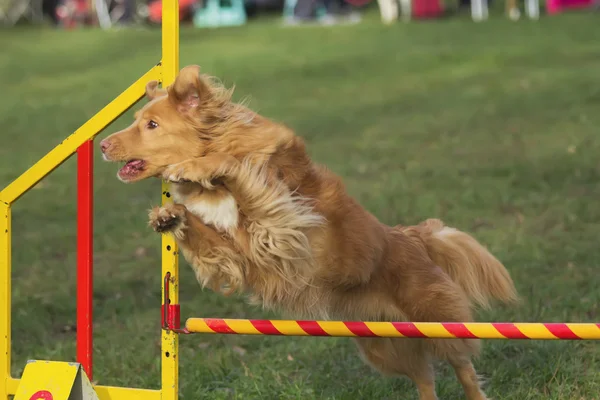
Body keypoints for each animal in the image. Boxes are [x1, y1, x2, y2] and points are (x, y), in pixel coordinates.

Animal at [101, 64, 516, 398]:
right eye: (138, 120)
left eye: (152, 125)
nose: (103, 144)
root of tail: (411, 236)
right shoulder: (240, 257)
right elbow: (212, 237)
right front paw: (170, 216)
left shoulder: (282, 223)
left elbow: (241, 173)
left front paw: (201, 167)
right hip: (384, 344)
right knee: (424, 377)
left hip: (434, 323)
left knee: (462, 365)